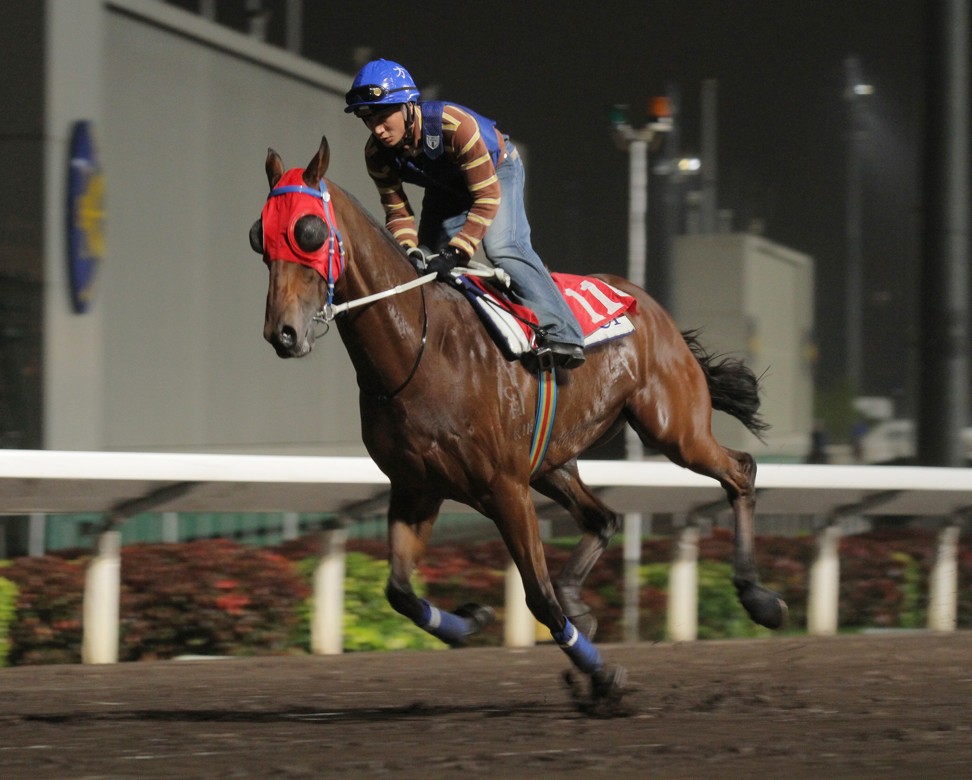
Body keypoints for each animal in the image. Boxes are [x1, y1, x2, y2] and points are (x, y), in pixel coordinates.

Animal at [254, 136, 784, 712]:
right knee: (604, 519)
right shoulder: (416, 487)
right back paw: (585, 607)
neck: (420, 348)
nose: (282, 333)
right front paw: (472, 619)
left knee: (740, 471)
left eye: (309, 231)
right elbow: (399, 592)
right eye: (260, 236)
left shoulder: (504, 486)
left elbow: (539, 599)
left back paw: (759, 598)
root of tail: (647, 304)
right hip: (553, 460)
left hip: (673, 427)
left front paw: (603, 677)